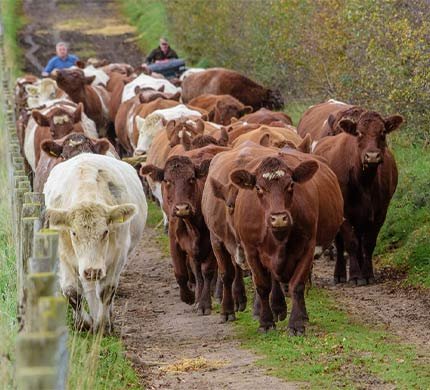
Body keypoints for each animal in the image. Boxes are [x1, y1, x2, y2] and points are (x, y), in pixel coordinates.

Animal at [44, 154, 147, 334]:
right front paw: (84, 323)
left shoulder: (118, 255)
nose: (92, 270)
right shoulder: (63, 255)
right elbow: (71, 291)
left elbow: (107, 291)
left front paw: (103, 325)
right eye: (73, 233)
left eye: (105, 231)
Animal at [204, 145, 342, 334]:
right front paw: (265, 322)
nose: (278, 218)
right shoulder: (248, 250)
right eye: (258, 188)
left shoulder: (308, 246)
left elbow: (297, 285)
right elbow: (261, 285)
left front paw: (296, 324)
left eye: (291, 185)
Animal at [312, 111, 404, 284]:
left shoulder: (380, 212)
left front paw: (367, 274)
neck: (364, 181)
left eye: (383, 132)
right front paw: (355, 275)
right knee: (340, 243)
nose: (372, 156)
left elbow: (368, 243)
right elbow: (351, 243)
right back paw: (340, 274)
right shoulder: (344, 213)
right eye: (359, 133)